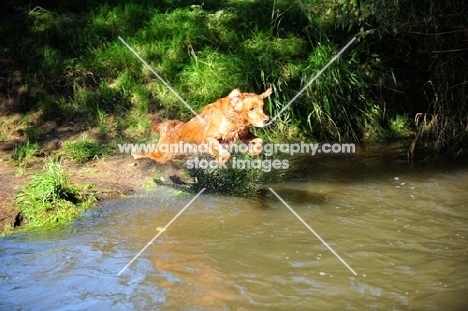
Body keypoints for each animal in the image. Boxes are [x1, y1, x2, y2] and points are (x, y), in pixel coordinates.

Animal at [132, 85, 272, 163]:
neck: (231, 117)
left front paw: (254, 152)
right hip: (164, 154)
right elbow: (226, 154)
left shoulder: (242, 135)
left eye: (262, 107)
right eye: (251, 108)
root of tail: (171, 129)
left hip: (178, 155)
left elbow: (260, 140)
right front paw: (220, 160)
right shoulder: (209, 138)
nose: (267, 120)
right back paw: (135, 154)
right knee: (148, 153)